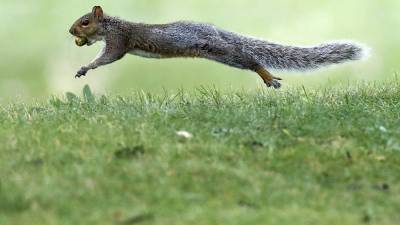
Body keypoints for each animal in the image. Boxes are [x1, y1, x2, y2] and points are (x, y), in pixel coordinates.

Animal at [69, 6, 368, 89]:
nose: (71, 32)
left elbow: (108, 57)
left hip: (221, 52)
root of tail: (214, 30)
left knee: (251, 60)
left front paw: (85, 67)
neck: (111, 25)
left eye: (85, 22)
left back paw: (268, 77)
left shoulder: (119, 40)